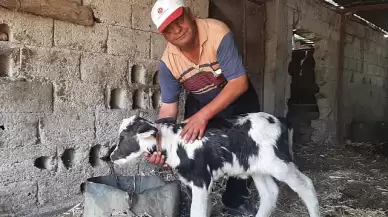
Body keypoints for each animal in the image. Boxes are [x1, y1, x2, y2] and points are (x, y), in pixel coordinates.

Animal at [110, 112, 320, 217]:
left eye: (123, 137)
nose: (111, 156)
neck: (173, 142)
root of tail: (280, 120)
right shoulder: (192, 181)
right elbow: (204, 209)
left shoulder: (201, 178)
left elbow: (197, 211)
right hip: (257, 167)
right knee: (270, 193)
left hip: (280, 163)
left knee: (306, 185)